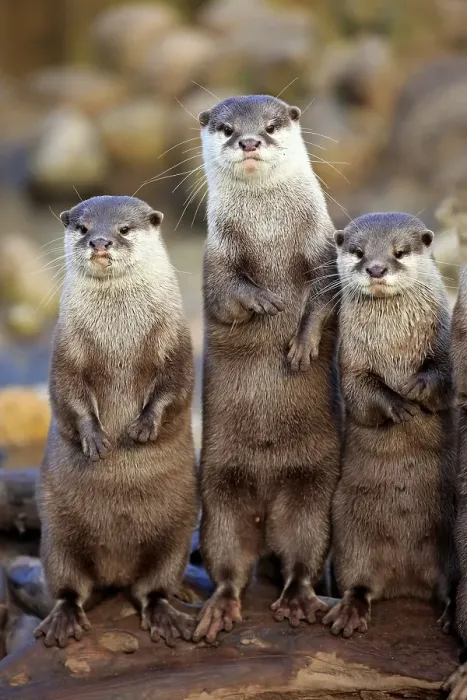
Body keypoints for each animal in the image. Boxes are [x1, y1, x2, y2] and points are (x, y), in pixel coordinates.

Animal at [34, 195, 198, 648]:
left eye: (123, 229)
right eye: (83, 227)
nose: (100, 242)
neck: (119, 335)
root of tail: (116, 571)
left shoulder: (176, 341)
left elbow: (175, 387)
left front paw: (142, 427)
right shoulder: (66, 349)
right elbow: (67, 393)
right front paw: (95, 439)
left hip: (176, 531)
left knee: (153, 586)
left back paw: (168, 610)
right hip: (57, 535)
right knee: (69, 585)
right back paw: (64, 619)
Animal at [192, 95, 341, 644]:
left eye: (272, 126)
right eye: (226, 128)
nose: (250, 141)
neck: (270, 236)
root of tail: (264, 499)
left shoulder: (324, 250)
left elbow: (323, 300)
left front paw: (301, 345)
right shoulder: (215, 260)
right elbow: (227, 294)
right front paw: (263, 301)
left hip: (314, 486)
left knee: (302, 550)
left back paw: (299, 599)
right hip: (217, 490)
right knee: (229, 561)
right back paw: (220, 608)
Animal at [323, 212, 457, 638]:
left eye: (399, 251)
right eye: (358, 251)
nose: (377, 268)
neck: (394, 343)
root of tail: (406, 579)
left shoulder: (444, 344)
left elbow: (444, 378)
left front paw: (417, 387)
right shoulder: (350, 359)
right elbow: (363, 393)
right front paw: (399, 404)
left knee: (450, 586)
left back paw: (451, 613)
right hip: (349, 532)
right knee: (358, 581)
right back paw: (350, 611)